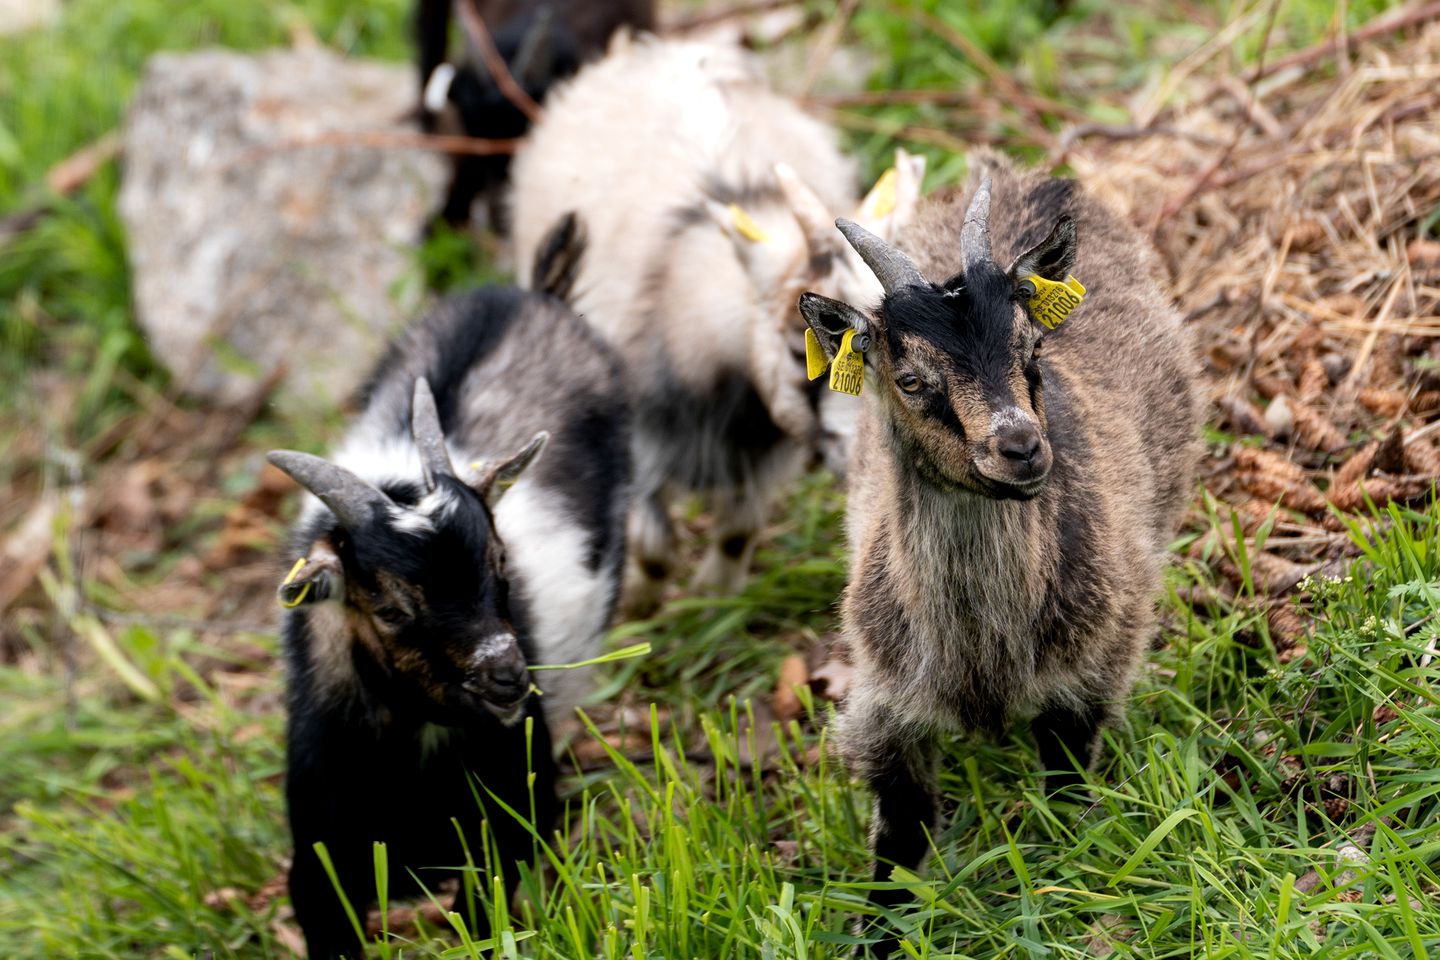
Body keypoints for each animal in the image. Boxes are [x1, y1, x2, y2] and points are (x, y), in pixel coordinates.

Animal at [512, 37, 927, 613]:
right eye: (801, 350)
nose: (865, 453)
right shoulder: (638, 442)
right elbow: (654, 546)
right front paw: (641, 607)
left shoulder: (761, 452)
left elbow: (736, 530)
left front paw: (715, 599)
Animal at [800, 150, 1203, 955]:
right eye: (910, 378)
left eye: (1032, 348)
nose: (1021, 448)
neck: (981, 659)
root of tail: (1030, 174)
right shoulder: (880, 707)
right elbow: (900, 834)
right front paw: (877, 935)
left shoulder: (1092, 676)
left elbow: (1067, 790)